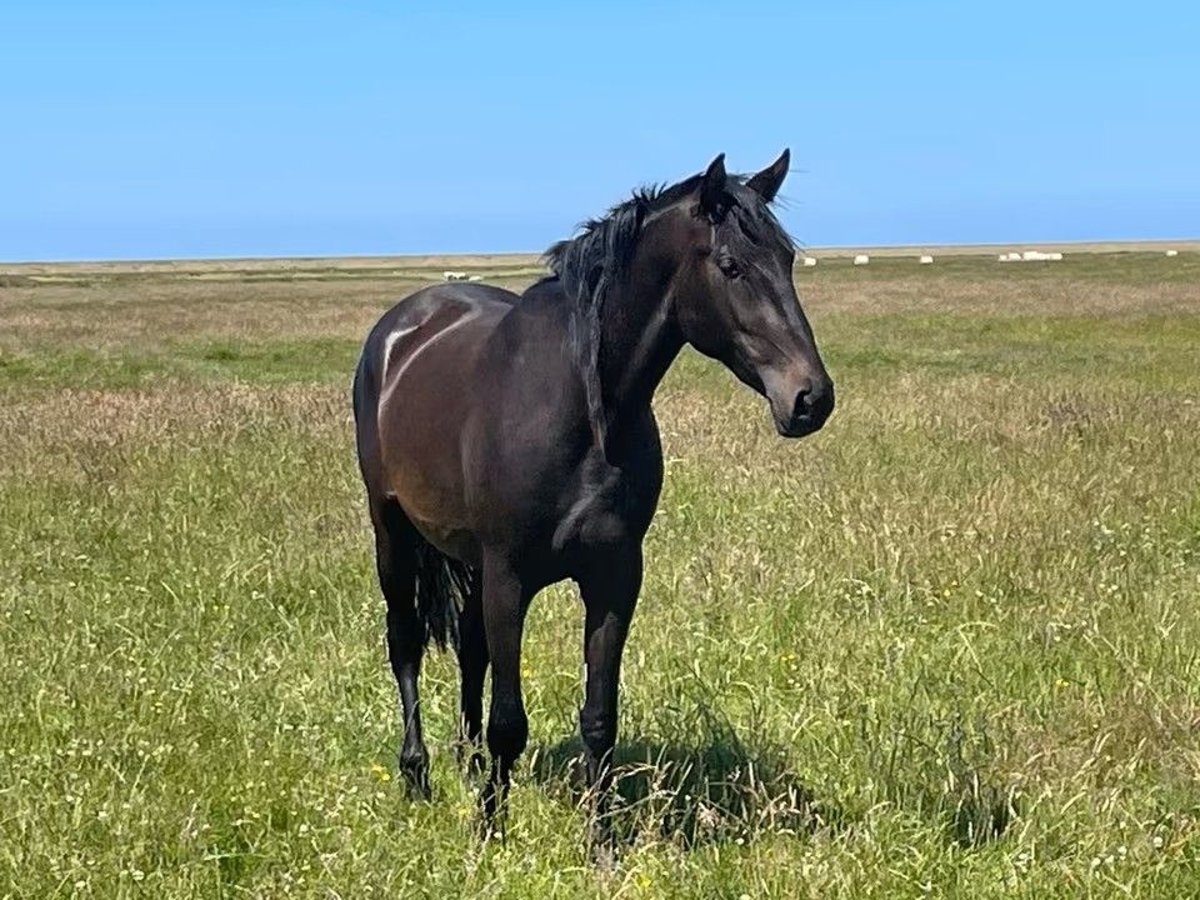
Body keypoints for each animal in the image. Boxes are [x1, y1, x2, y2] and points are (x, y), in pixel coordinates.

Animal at [351, 150, 835, 839]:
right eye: (731, 265)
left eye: (789, 260)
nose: (810, 399)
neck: (580, 407)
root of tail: (400, 328)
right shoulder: (508, 576)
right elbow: (508, 721)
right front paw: (490, 831)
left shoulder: (614, 576)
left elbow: (599, 719)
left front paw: (600, 840)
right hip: (392, 531)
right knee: (406, 643)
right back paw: (418, 776)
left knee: (470, 653)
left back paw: (466, 766)